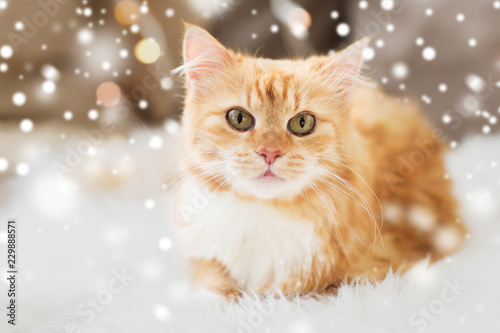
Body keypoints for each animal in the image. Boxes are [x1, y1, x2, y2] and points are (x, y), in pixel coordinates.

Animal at [173, 23, 468, 298]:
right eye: (239, 118)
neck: (268, 214)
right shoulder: (209, 259)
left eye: (302, 123)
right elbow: (212, 283)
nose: (270, 152)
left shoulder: (375, 269)